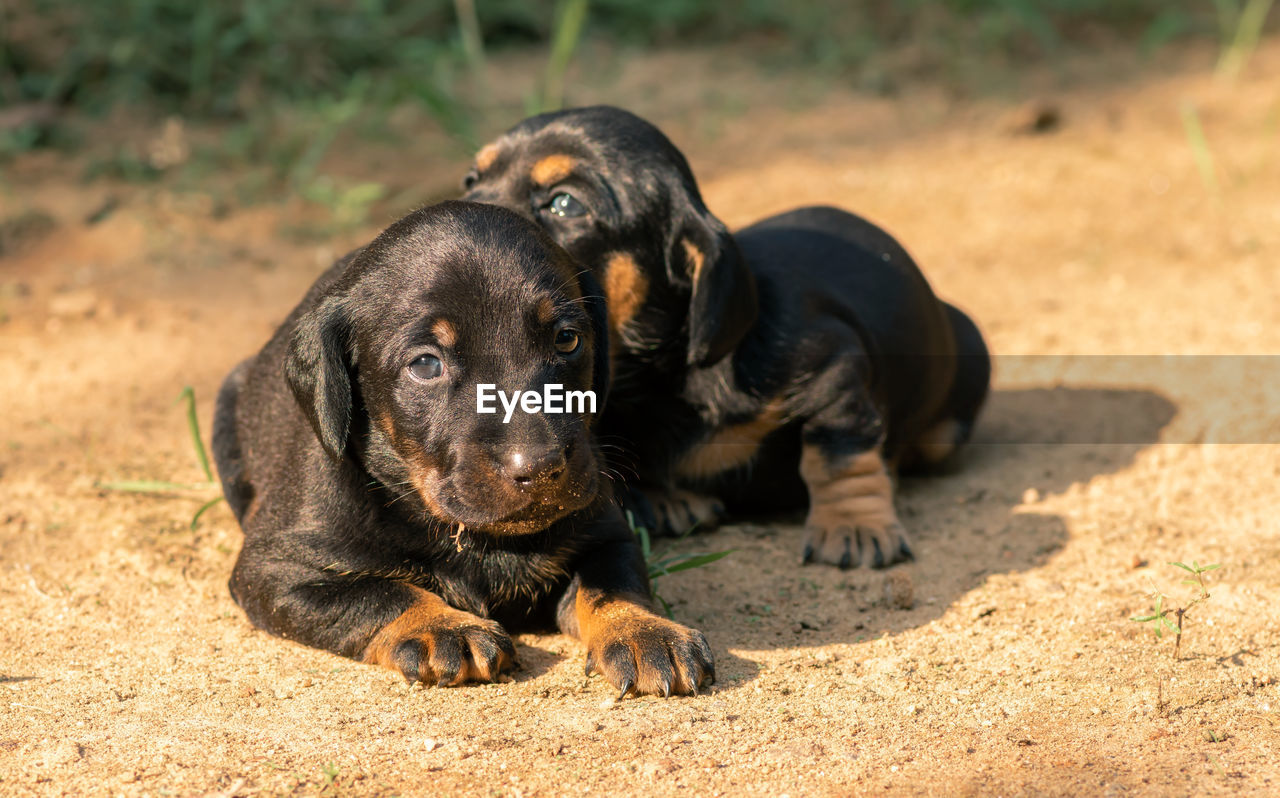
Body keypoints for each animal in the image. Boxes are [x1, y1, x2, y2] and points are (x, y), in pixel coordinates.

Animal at [208, 202, 711, 696]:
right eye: (426, 364)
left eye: (567, 339)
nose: (541, 468)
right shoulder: (276, 569)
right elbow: (380, 593)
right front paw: (443, 628)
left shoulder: (605, 531)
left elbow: (612, 585)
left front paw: (643, 630)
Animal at [465, 106, 993, 571]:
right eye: (472, 179)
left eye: (565, 203)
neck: (658, 378)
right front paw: (665, 497)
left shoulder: (835, 370)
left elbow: (838, 453)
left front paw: (854, 526)